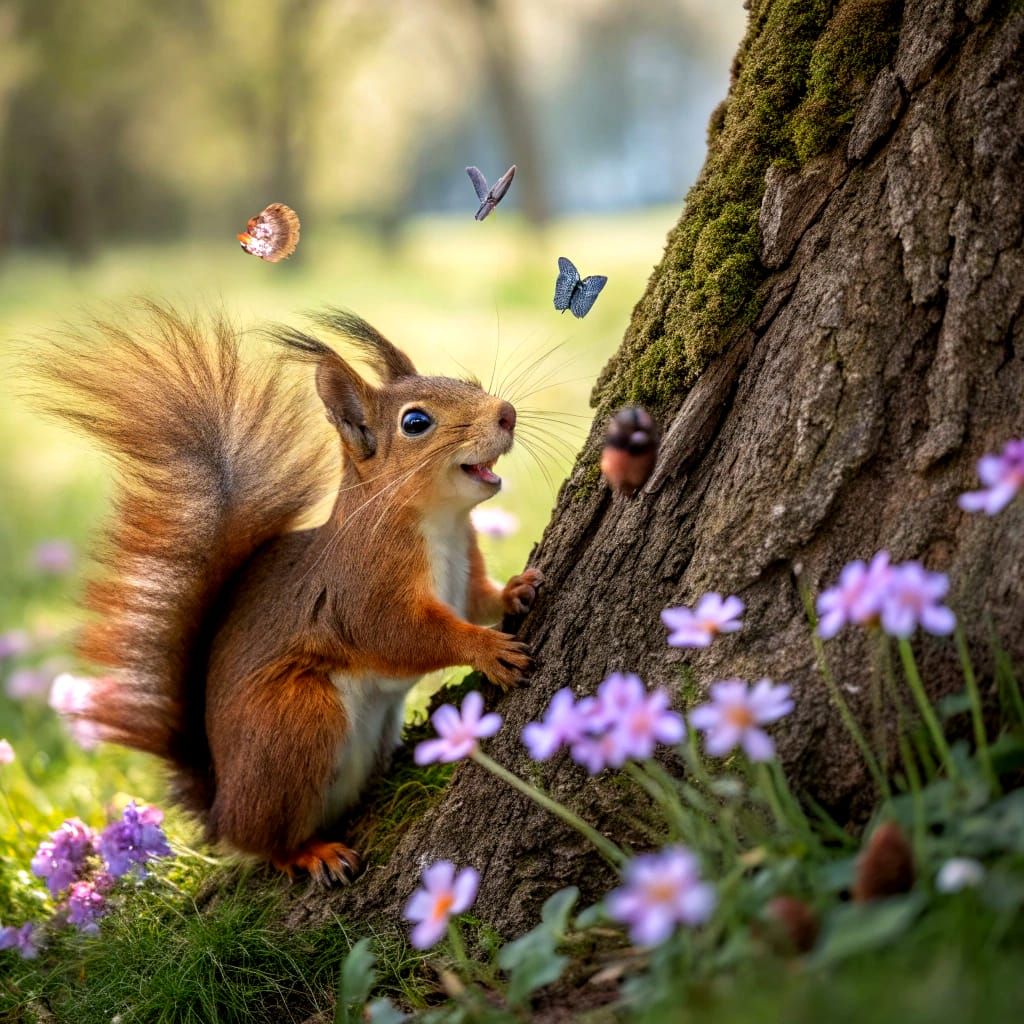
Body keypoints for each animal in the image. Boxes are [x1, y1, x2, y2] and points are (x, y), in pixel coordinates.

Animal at [33, 302, 542, 883]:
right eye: (416, 423)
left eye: (470, 382)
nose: (506, 414)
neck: (441, 523)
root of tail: (221, 809)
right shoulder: (360, 591)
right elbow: (403, 636)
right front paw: (488, 650)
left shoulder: (464, 574)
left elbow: (479, 600)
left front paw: (518, 590)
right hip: (296, 718)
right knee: (267, 841)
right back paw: (309, 852)